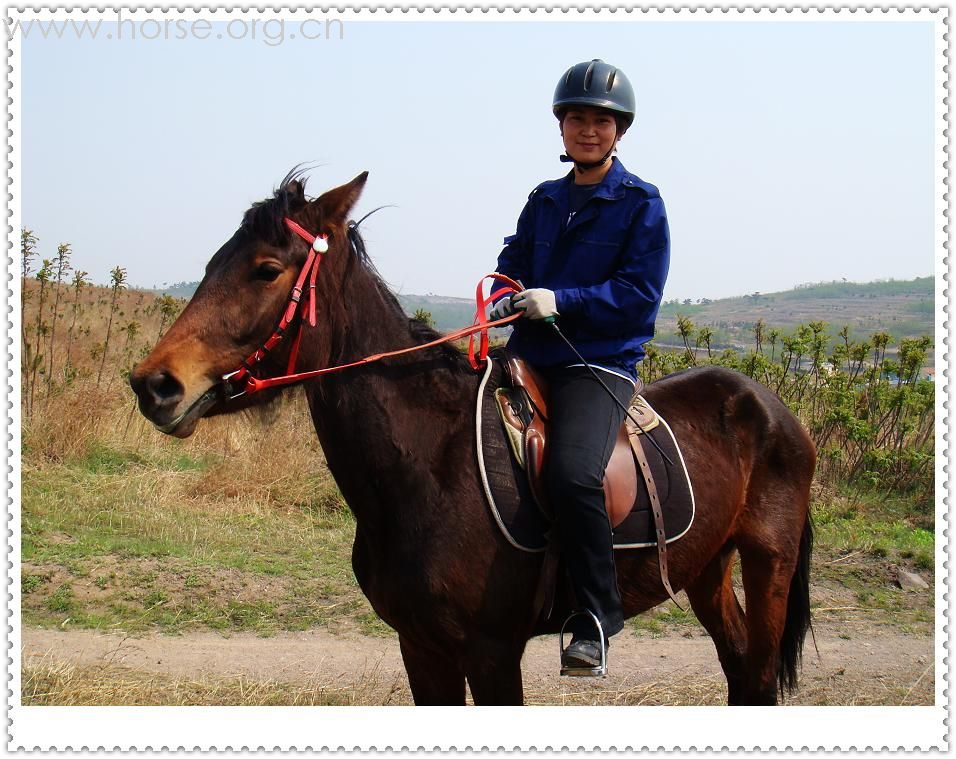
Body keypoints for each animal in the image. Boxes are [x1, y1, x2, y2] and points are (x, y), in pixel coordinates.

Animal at [131, 169, 816, 708]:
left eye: (266, 269)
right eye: (213, 263)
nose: (153, 384)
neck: (430, 463)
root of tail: (770, 408)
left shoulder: (492, 652)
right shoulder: (419, 645)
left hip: (769, 563)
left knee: (757, 674)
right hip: (706, 566)